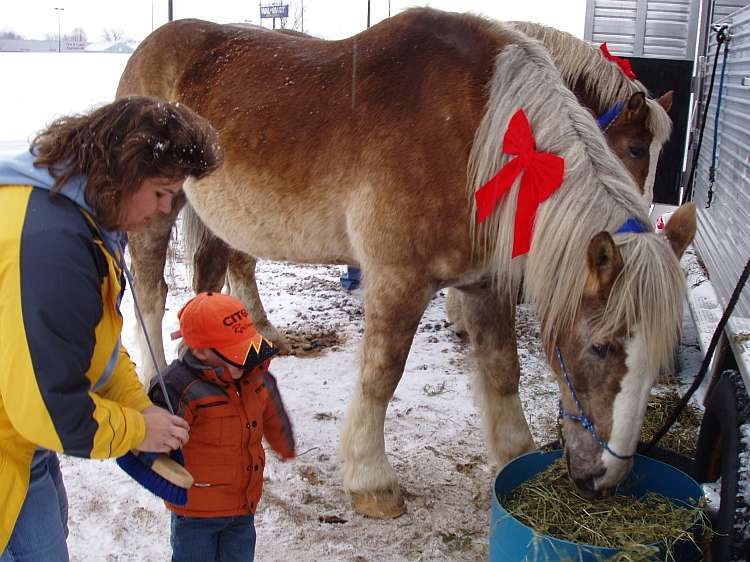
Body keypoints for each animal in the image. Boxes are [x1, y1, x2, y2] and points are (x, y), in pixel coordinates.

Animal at [119, 8, 700, 516]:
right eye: (601, 347)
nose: (605, 478)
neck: (478, 141)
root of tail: (151, 46)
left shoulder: (485, 284)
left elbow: (502, 371)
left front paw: (513, 459)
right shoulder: (397, 279)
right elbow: (382, 375)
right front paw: (371, 481)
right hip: (156, 213)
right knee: (150, 295)